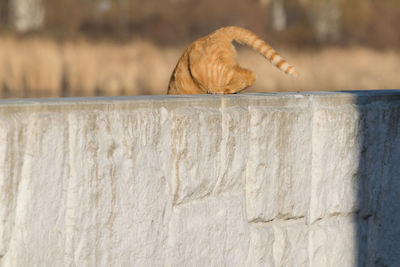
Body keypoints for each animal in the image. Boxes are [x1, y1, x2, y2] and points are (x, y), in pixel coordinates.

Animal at [167, 26, 298, 94]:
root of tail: (217, 32)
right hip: (229, 66)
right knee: (250, 74)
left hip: (204, 71)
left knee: (240, 78)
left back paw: (220, 90)